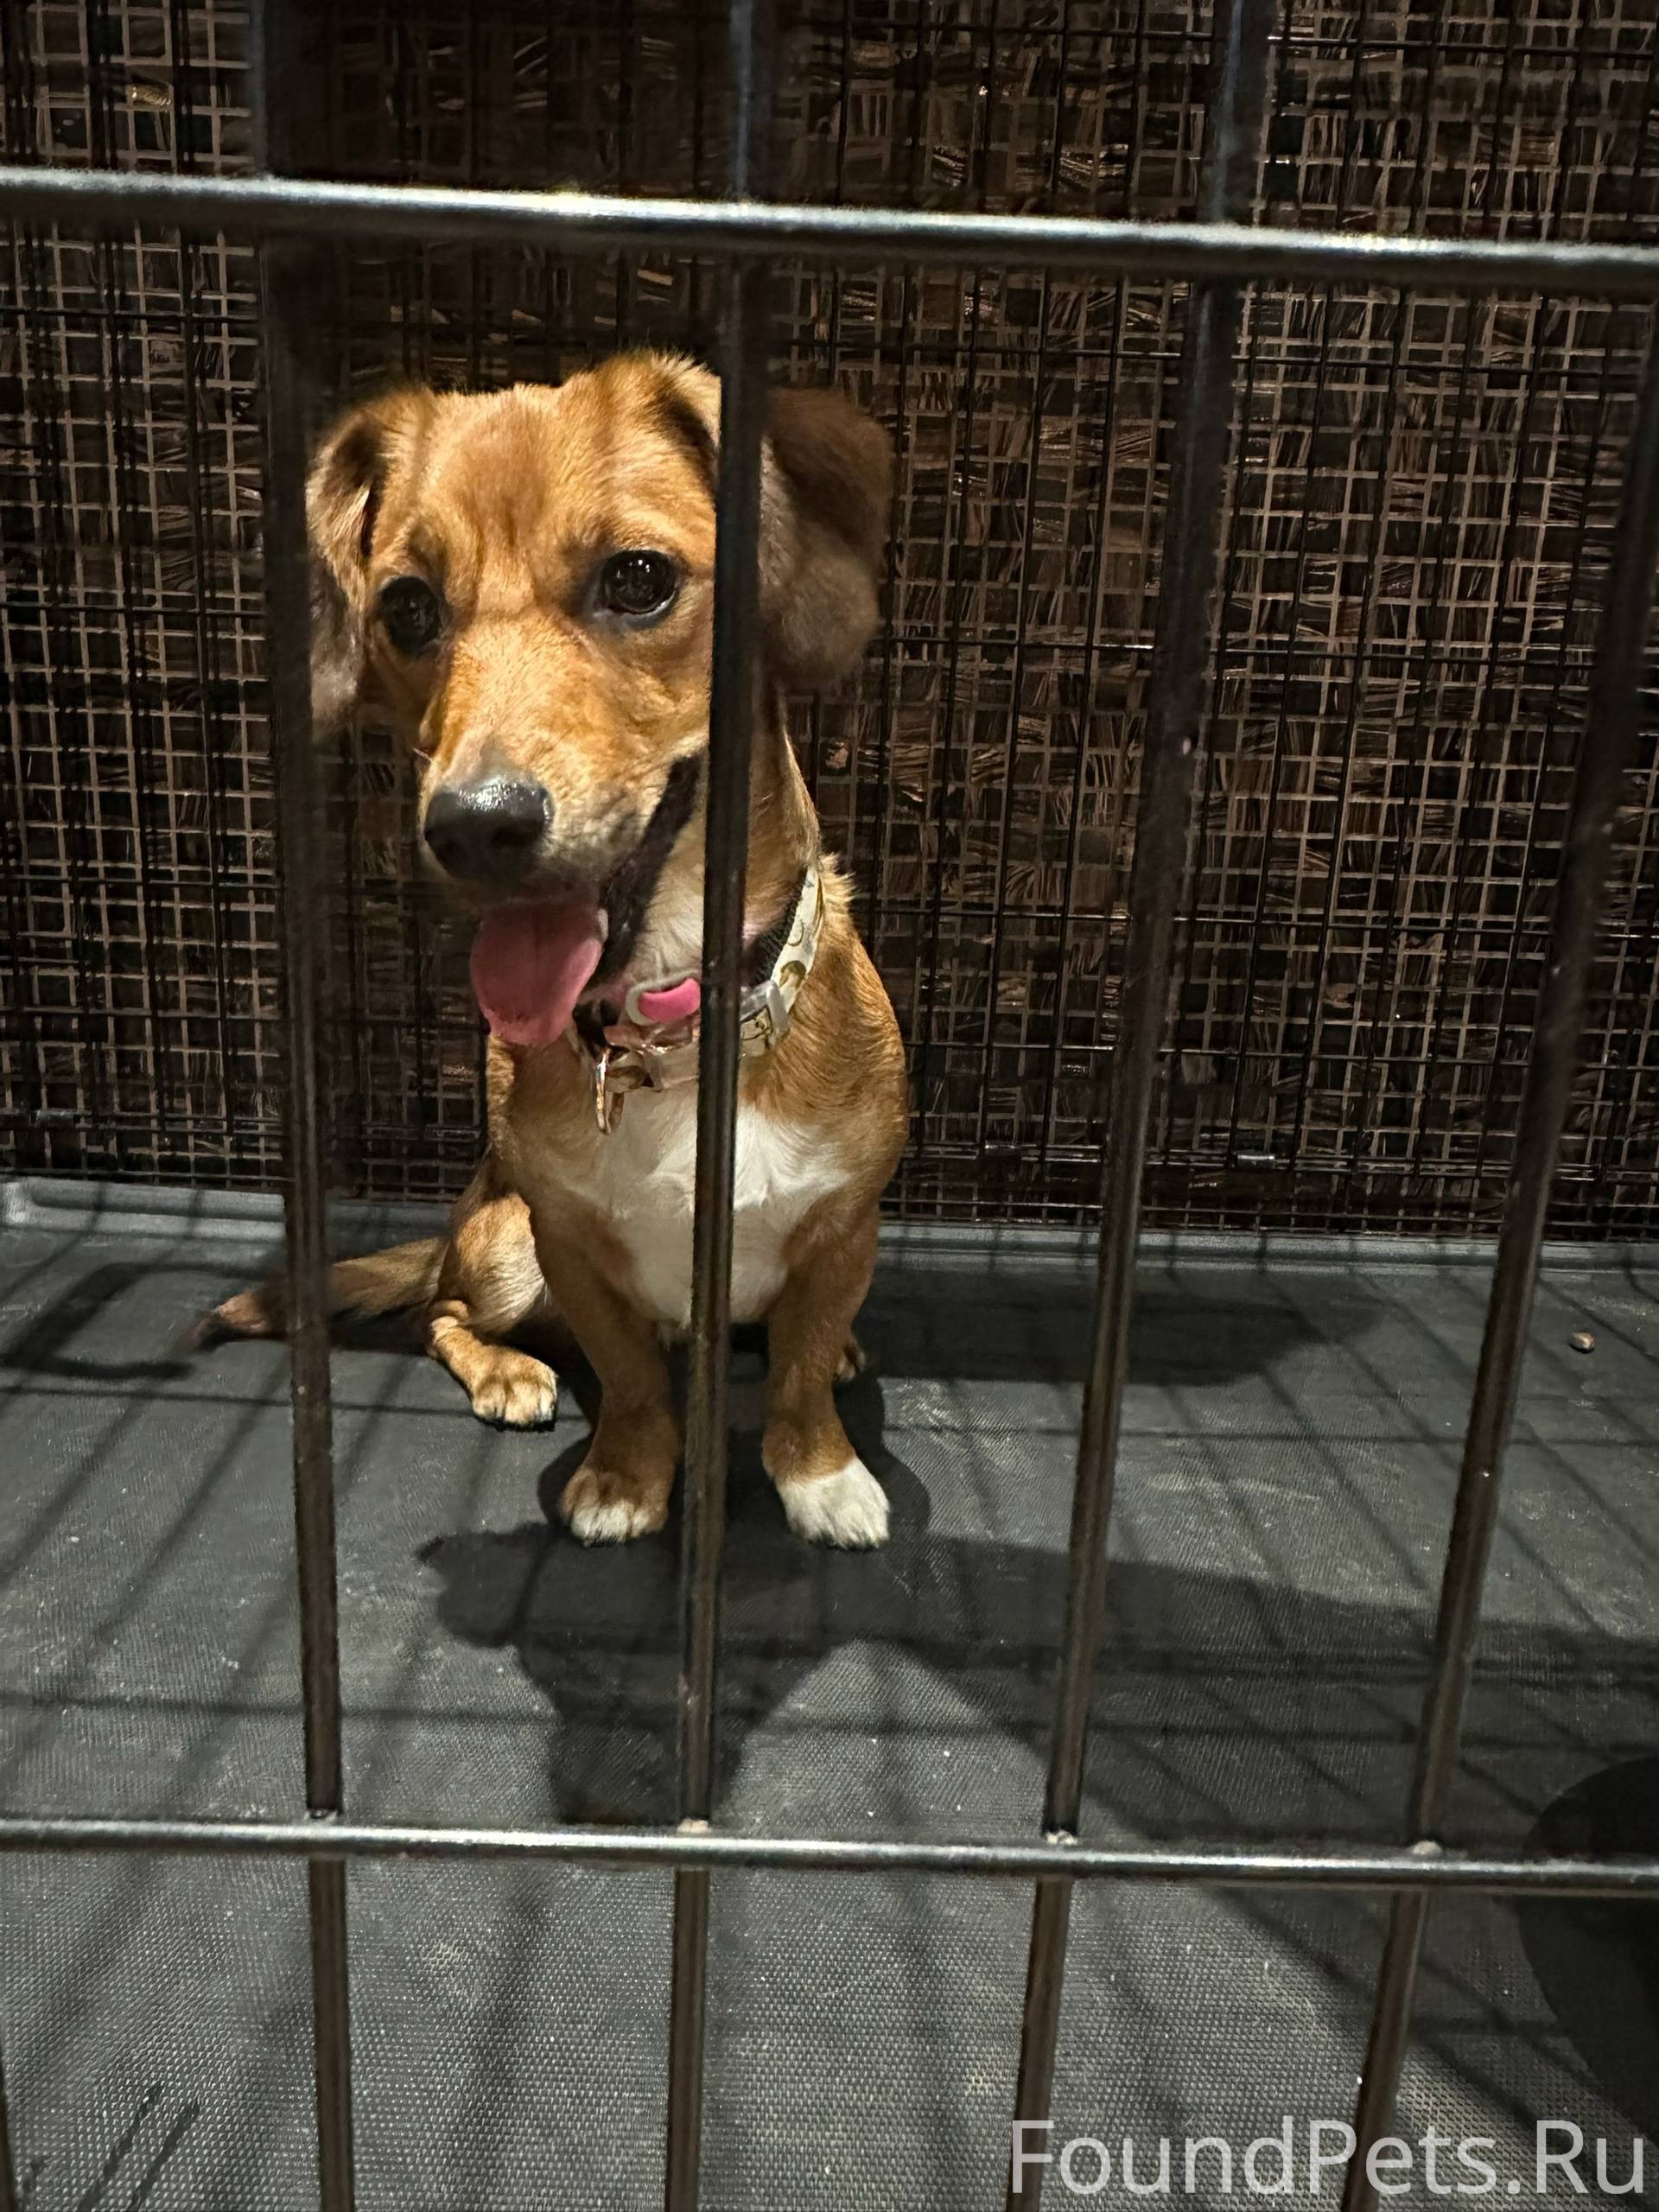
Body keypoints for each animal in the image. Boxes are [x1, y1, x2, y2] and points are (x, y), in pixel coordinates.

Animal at [206, 352, 908, 1549]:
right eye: (406, 607)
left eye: (638, 579)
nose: (475, 826)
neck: (667, 1038)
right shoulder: (570, 1246)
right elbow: (628, 1380)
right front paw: (626, 1475)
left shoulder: (842, 1230)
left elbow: (804, 1371)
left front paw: (819, 1473)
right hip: (499, 1246)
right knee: (439, 1308)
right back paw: (504, 1369)